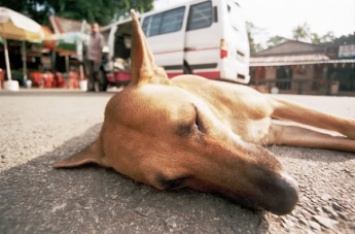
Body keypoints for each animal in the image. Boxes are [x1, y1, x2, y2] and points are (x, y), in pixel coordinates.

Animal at [52, 10, 355, 216]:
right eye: (175, 183)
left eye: (195, 120)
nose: (288, 198)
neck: (230, 120)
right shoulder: (279, 131)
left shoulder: (273, 103)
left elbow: (340, 123)